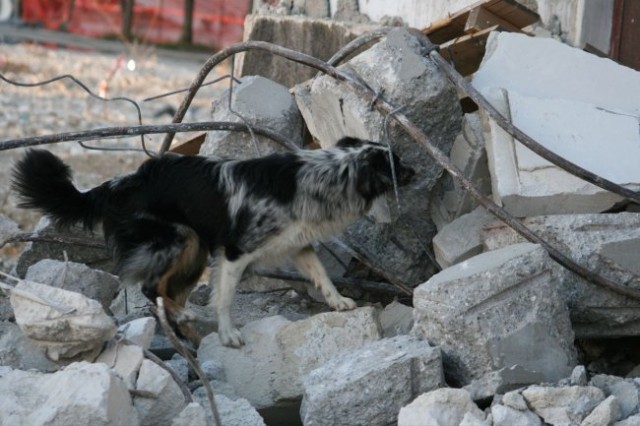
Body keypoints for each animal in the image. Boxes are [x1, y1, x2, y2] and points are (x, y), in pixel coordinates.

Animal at [15, 138, 418, 348]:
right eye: (397, 164)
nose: (418, 170)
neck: (324, 177)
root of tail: (121, 182)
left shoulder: (297, 244)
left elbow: (321, 273)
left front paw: (338, 302)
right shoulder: (235, 252)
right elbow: (224, 297)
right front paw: (228, 333)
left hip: (194, 253)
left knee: (168, 292)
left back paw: (188, 331)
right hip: (183, 239)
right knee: (150, 288)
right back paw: (186, 319)